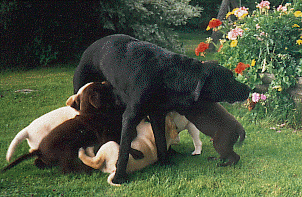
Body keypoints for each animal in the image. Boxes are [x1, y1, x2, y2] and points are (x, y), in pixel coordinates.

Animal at [73, 33, 250, 183]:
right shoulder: (130, 116)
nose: (249, 89)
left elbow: (160, 140)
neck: (167, 76)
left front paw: (165, 162)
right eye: (229, 79)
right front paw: (119, 178)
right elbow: (124, 149)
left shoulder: (157, 115)